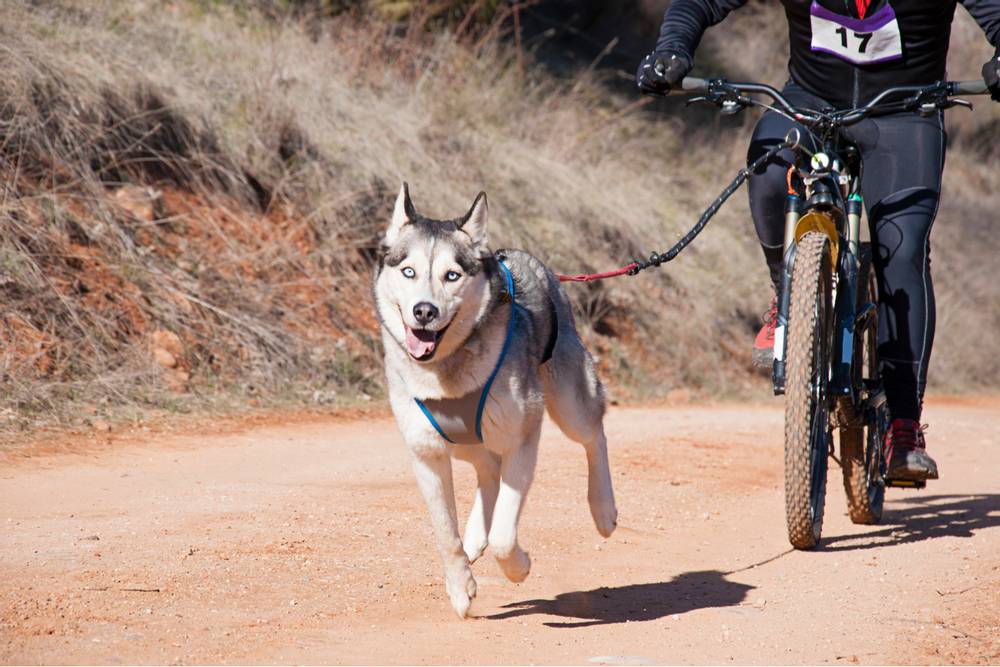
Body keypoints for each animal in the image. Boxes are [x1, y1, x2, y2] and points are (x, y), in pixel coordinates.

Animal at [376, 184, 616, 620]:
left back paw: (603, 508)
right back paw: (475, 535)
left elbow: (505, 533)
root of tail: (528, 261)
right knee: (487, 469)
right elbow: (445, 533)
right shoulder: (427, 453)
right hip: (464, 439)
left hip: (569, 405)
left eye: (452, 275)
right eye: (409, 271)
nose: (424, 311)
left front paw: (518, 567)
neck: (447, 372)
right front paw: (460, 585)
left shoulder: (523, 438)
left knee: (594, 436)